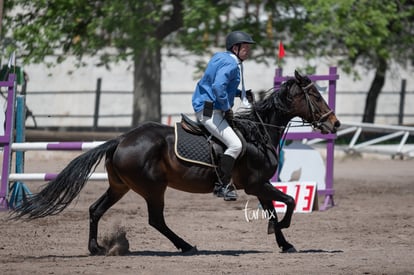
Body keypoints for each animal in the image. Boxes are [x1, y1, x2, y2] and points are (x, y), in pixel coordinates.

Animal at [9, 70, 340, 256]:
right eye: (315, 95)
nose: (334, 124)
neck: (258, 131)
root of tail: (121, 139)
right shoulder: (257, 184)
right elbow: (288, 202)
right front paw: (280, 231)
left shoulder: (260, 185)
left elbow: (273, 208)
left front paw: (283, 242)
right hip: (154, 188)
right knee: (156, 220)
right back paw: (186, 246)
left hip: (120, 187)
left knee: (95, 209)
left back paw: (96, 248)